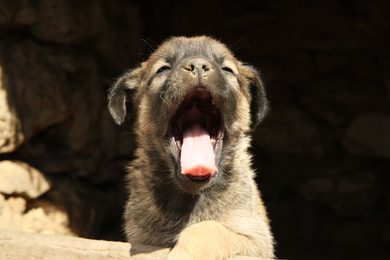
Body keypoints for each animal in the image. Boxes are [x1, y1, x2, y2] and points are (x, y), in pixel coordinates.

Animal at [107, 35, 274, 258]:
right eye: (163, 69)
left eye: (227, 69)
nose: (198, 66)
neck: (189, 197)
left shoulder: (255, 238)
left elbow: (205, 229)